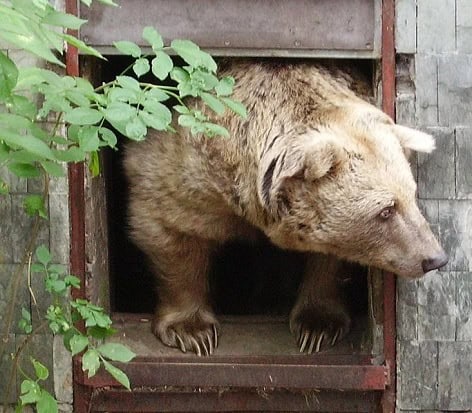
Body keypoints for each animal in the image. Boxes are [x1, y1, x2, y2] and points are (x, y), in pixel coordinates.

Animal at [123, 59, 448, 356]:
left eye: (412, 195)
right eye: (386, 210)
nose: (434, 258)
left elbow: (329, 259)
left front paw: (317, 326)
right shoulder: (186, 166)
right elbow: (173, 230)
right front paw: (192, 331)